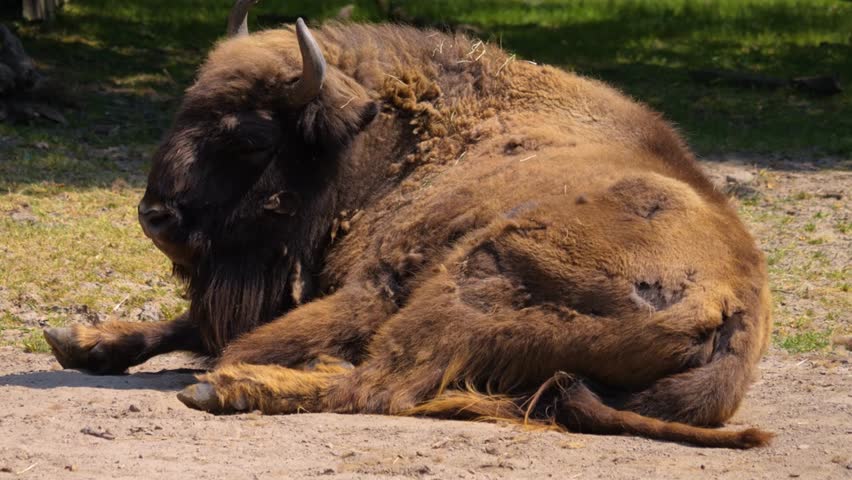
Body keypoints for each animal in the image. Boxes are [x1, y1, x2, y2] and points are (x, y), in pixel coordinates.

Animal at [44, 1, 773, 448]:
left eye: (250, 137)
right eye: (183, 110)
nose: (154, 216)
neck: (391, 142)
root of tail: (735, 306)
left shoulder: (367, 289)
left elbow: (238, 336)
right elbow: (189, 323)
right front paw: (78, 340)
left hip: (469, 285)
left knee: (378, 384)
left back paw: (226, 389)